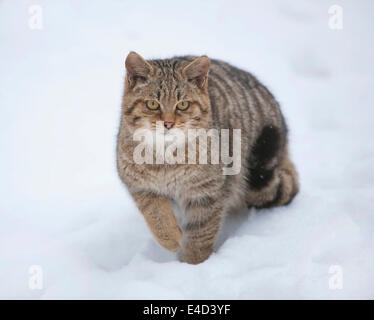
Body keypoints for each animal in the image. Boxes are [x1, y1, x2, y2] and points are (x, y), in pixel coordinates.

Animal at [117, 51, 298, 264]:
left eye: (183, 104)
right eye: (152, 104)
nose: (168, 123)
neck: (166, 158)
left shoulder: (207, 193)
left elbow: (200, 235)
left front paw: (192, 264)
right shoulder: (139, 186)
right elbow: (157, 215)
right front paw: (171, 239)